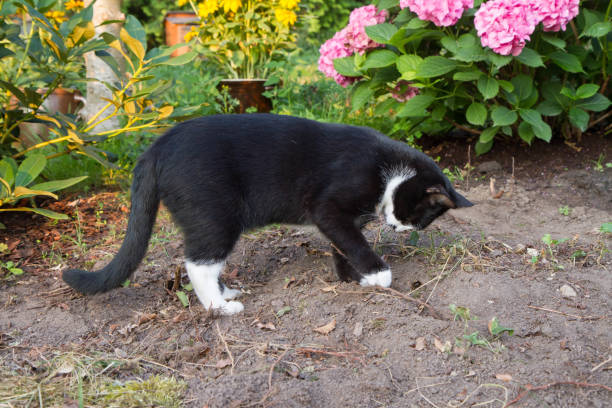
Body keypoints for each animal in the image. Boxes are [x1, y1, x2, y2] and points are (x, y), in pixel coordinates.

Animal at [63, 113, 474, 314]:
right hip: (216, 211)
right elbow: (354, 243)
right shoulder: (328, 206)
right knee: (198, 262)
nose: (399, 227)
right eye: (419, 215)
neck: (387, 169)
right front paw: (379, 275)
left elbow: (343, 246)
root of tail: (156, 147)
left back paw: (225, 293)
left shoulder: (342, 220)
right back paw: (221, 308)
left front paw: (352, 279)